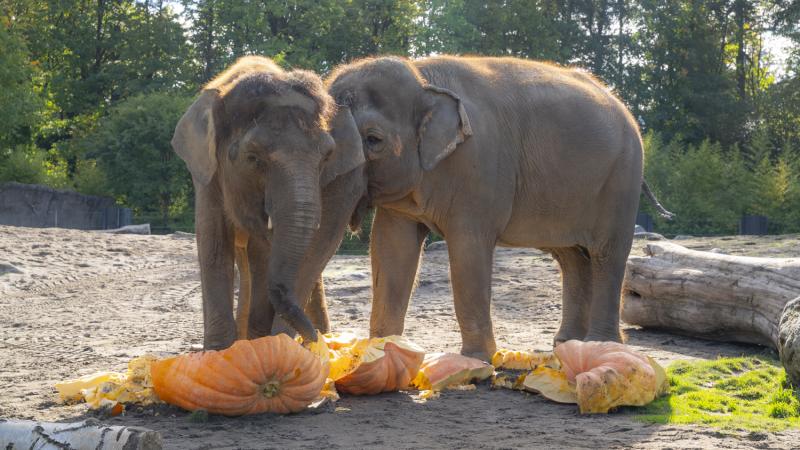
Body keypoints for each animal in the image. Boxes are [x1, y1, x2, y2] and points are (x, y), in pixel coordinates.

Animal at [172, 56, 366, 350]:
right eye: (253, 158)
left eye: (326, 156)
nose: (313, 340)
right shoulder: (206, 175)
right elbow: (214, 243)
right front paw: (219, 352)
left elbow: (272, 254)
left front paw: (267, 345)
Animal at [327, 55, 672, 361]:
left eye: (373, 140)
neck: (422, 76)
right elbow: (391, 247)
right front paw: (383, 352)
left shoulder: (480, 168)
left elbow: (468, 249)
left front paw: (477, 359)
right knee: (572, 258)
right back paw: (567, 344)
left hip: (621, 178)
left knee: (606, 255)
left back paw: (599, 346)